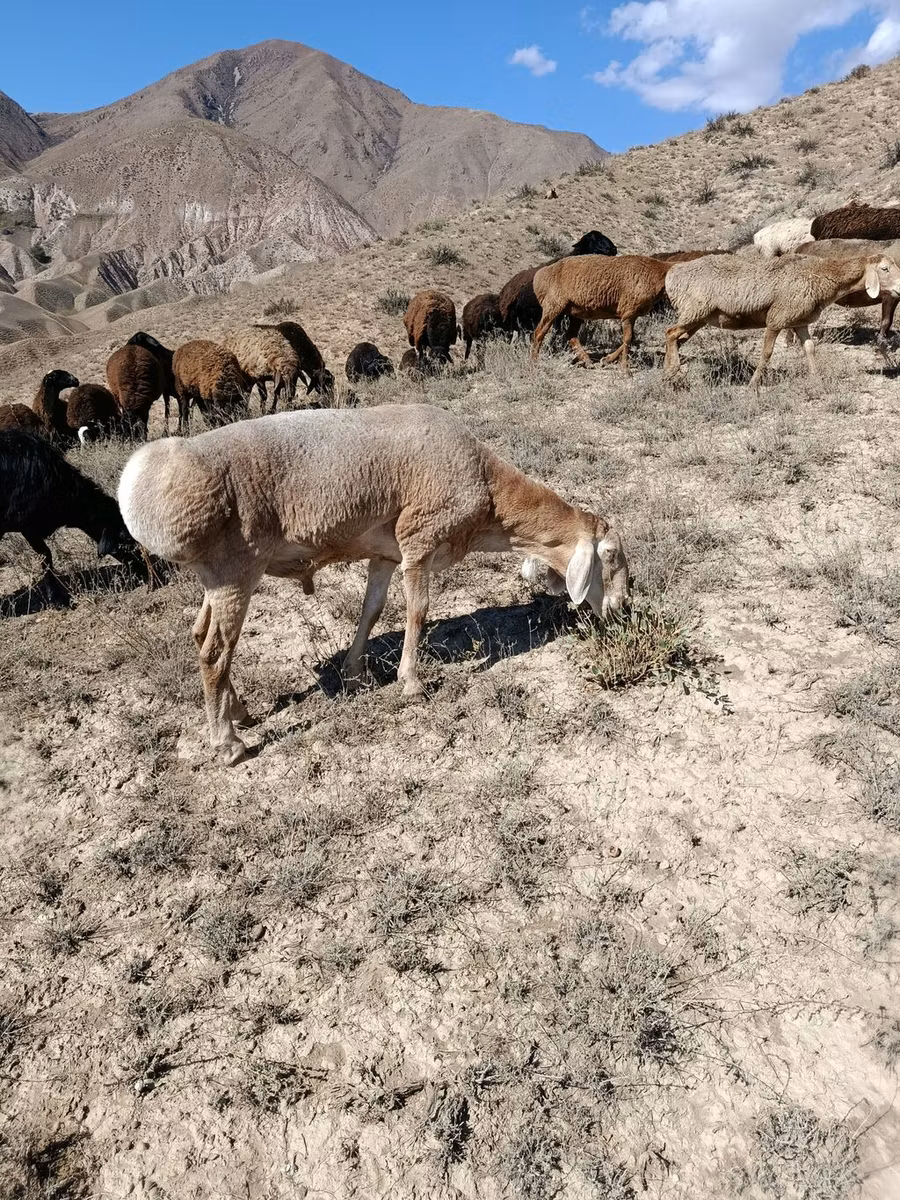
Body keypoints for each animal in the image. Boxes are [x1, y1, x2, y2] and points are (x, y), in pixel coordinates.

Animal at [117, 404, 629, 766]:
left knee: (200, 636)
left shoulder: (386, 552)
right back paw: (227, 743)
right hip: (234, 570)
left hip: (216, 578)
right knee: (214, 653)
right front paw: (411, 682)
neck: (490, 497)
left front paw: (355, 673)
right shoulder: (419, 540)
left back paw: (237, 711)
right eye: (610, 556)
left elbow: (373, 610)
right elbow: (418, 612)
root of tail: (144, 482)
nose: (622, 611)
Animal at [531, 255, 672, 370]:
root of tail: (540, 275)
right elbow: (628, 338)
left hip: (576, 311)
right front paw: (625, 370)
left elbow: (631, 339)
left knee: (570, 334)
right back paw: (534, 362)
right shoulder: (628, 313)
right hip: (553, 306)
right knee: (539, 332)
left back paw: (587, 361)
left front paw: (606, 360)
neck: (655, 274)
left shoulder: (632, 315)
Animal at [664, 252, 900, 389]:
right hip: (694, 311)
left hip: (698, 318)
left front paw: (816, 379)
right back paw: (674, 374)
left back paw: (669, 375)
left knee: (675, 339)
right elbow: (767, 353)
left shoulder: (800, 322)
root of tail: (673, 273)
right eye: (884, 269)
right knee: (670, 333)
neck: (820, 275)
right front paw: (753, 384)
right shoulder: (776, 319)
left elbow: (810, 348)